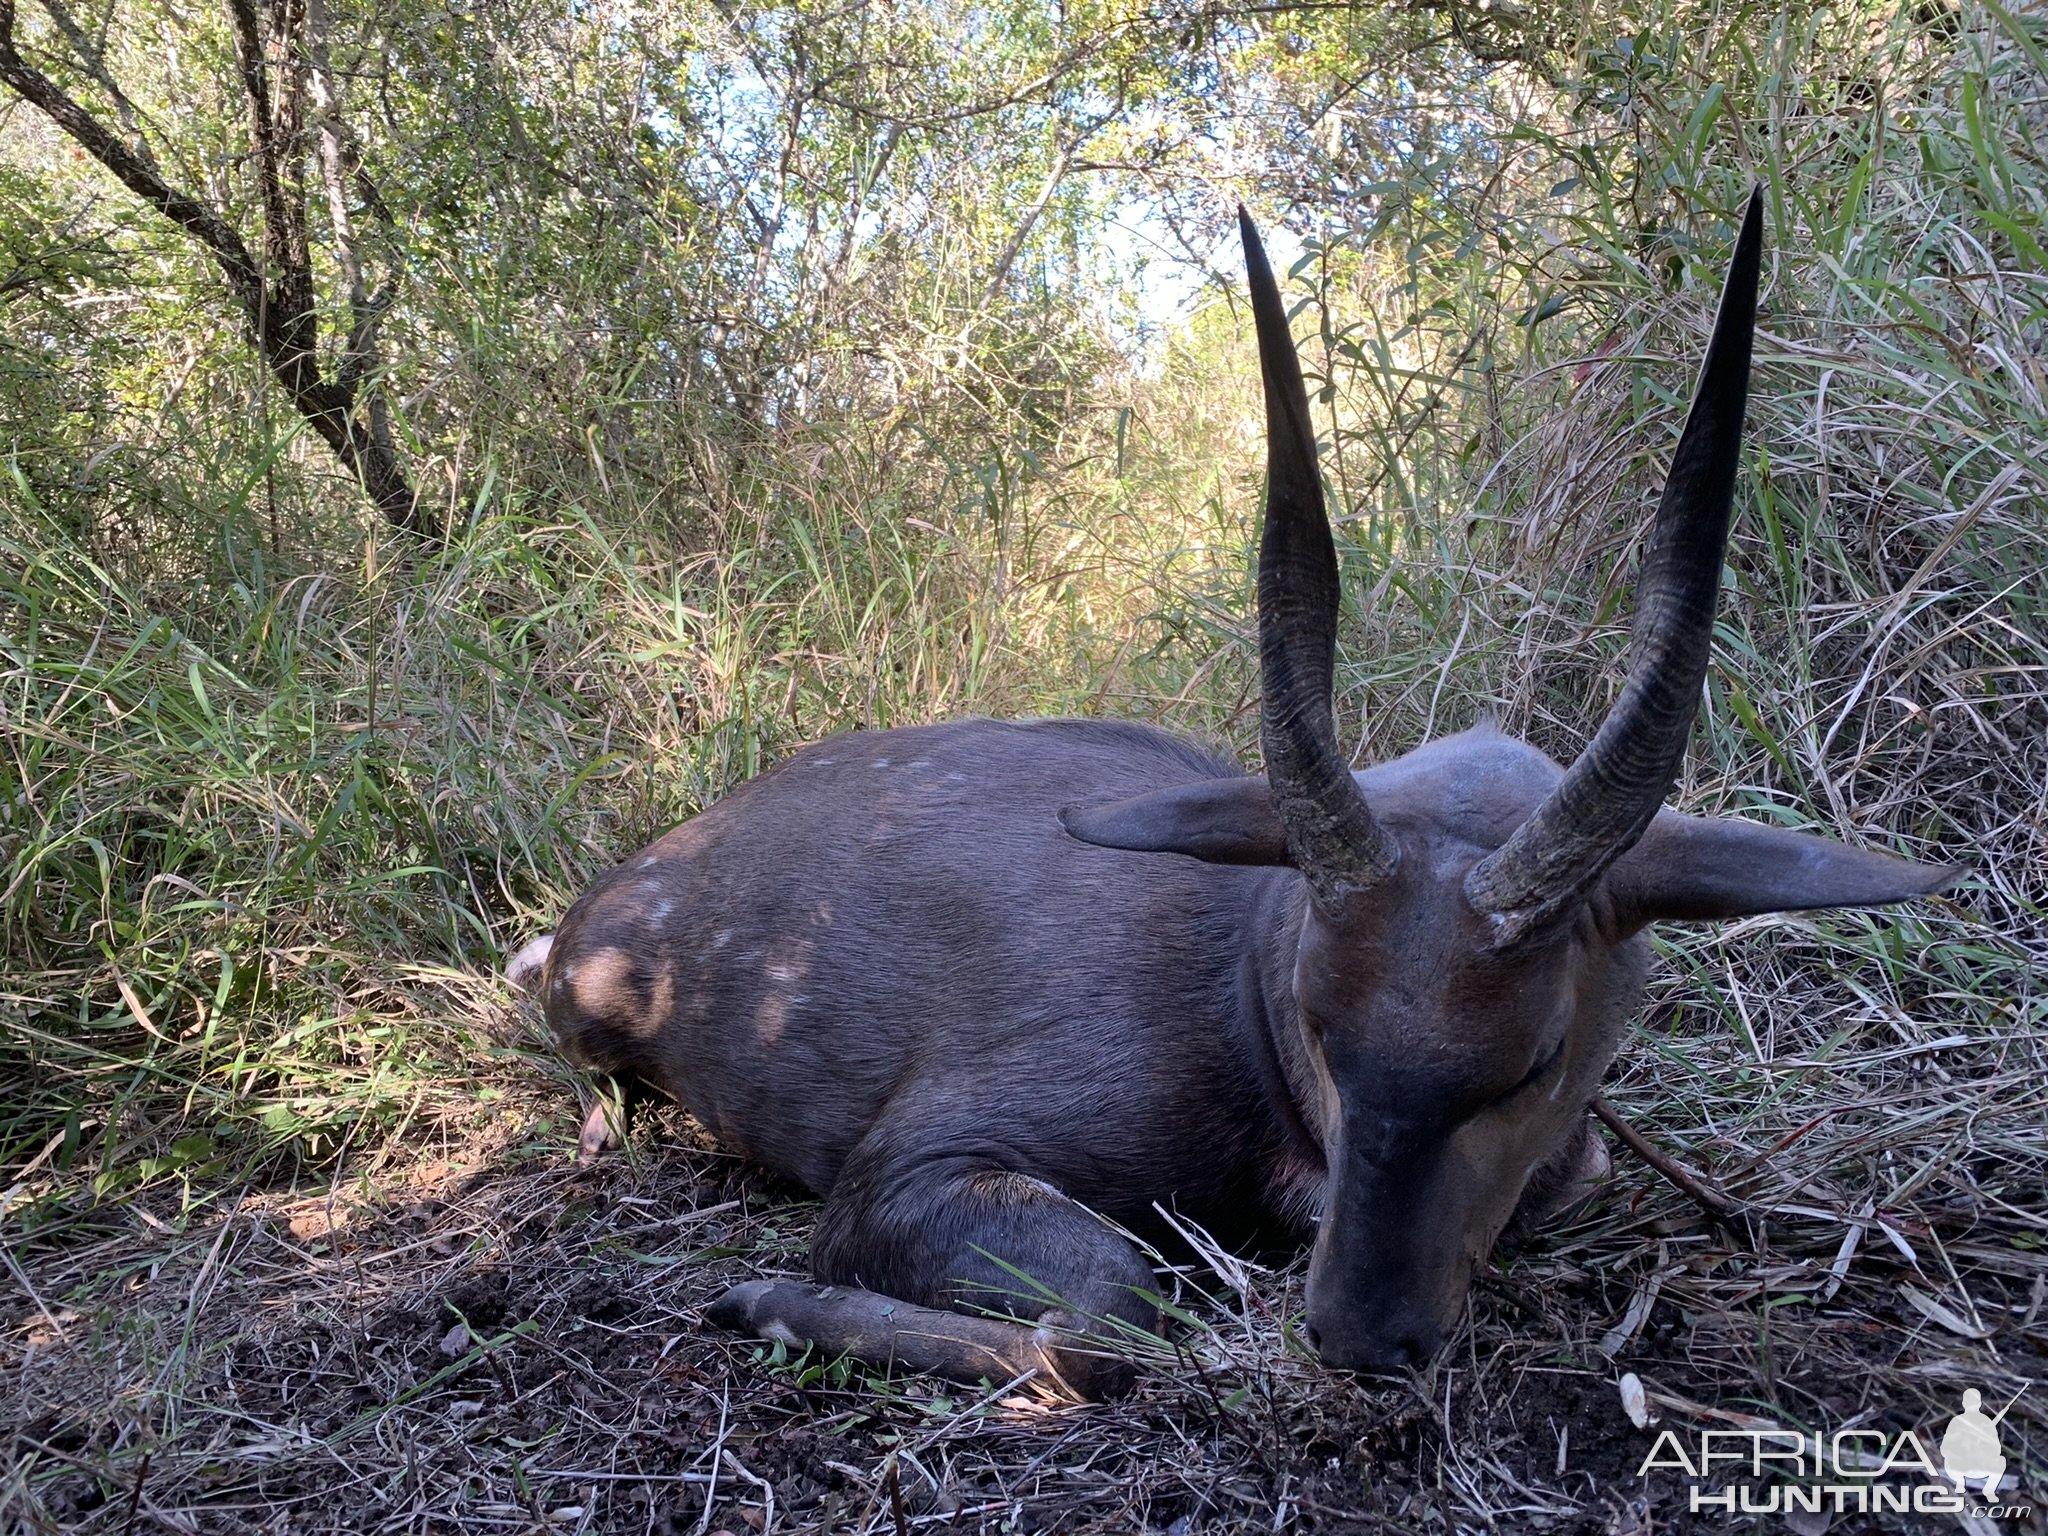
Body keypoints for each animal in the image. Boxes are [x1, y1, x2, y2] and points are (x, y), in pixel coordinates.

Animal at [512, 192, 1949, 1392]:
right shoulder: (908, 1169)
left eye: (1538, 1058)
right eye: (1318, 1018)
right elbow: (1112, 1317)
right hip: (593, 1015)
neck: (1237, 989)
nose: (1362, 1335)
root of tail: (633, 886)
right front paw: (760, 1300)